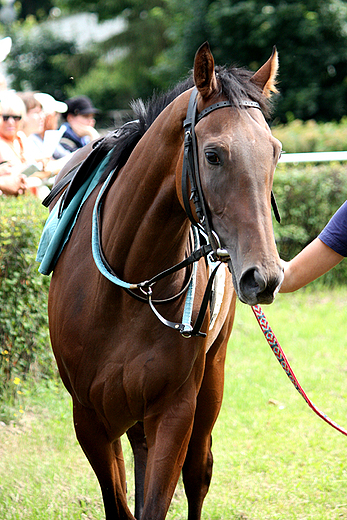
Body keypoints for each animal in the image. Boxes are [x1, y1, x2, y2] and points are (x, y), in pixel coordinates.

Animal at [44, 42, 284, 516]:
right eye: (213, 154)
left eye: (275, 151)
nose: (263, 276)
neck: (128, 287)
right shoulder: (90, 419)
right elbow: (120, 503)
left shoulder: (174, 411)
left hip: (213, 375)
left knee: (199, 470)